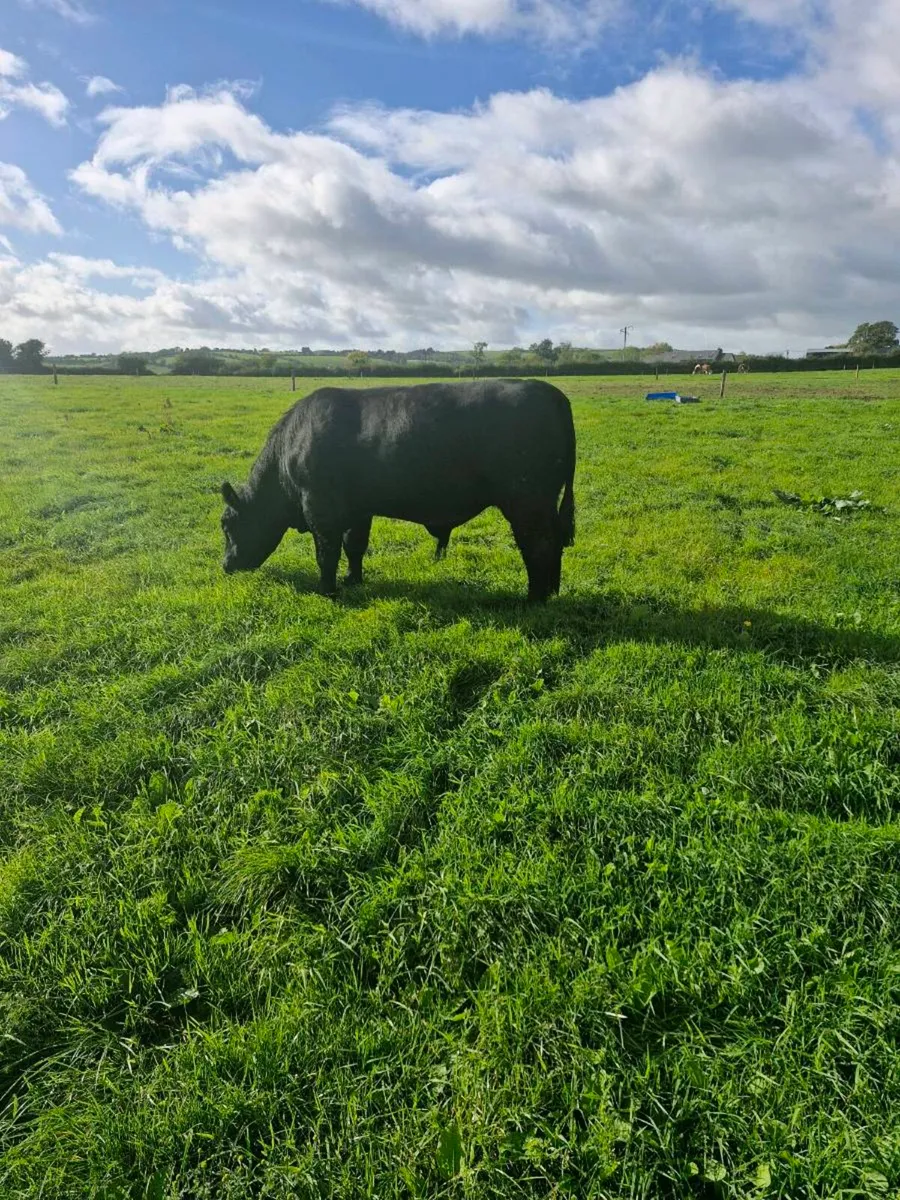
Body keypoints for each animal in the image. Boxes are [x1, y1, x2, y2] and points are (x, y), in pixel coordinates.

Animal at [220, 378, 576, 603]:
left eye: (226, 524)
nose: (226, 565)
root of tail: (549, 391)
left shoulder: (321, 510)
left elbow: (327, 554)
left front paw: (327, 591)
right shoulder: (359, 511)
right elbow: (354, 546)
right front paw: (353, 580)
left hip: (527, 502)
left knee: (539, 545)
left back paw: (534, 599)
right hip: (543, 503)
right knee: (555, 541)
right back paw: (551, 591)